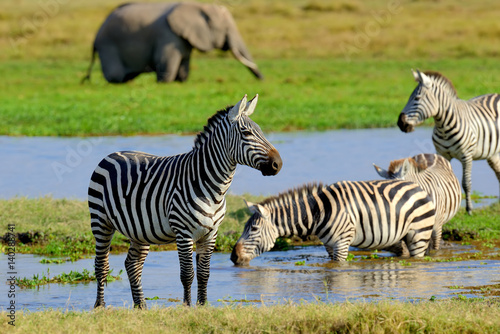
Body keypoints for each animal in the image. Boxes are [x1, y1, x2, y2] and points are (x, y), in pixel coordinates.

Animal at [80, 2, 264, 83]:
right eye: (226, 29)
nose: (262, 80)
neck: (199, 6)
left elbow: (184, 65)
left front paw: (181, 80)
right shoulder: (168, 36)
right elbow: (166, 62)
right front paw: (164, 82)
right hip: (108, 45)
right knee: (116, 75)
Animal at [89, 94, 282, 308]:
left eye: (261, 131)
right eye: (246, 133)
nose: (278, 164)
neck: (212, 188)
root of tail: (113, 153)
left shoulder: (211, 234)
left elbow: (204, 274)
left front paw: (203, 306)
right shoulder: (184, 233)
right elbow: (187, 274)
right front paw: (187, 307)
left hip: (140, 231)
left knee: (132, 264)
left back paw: (141, 307)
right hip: (101, 222)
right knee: (101, 265)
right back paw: (100, 307)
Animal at [232, 180, 436, 264]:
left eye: (254, 229)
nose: (233, 257)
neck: (318, 213)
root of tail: (418, 187)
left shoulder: (342, 243)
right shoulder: (329, 245)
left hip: (419, 234)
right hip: (401, 237)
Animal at [398, 70, 500, 214]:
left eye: (417, 98)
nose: (400, 123)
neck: (443, 127)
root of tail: (496, 94)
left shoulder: (467, 156)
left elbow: (466, 183)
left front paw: (469, 210)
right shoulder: (442, 155)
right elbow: (442, 179)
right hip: (493, 153)